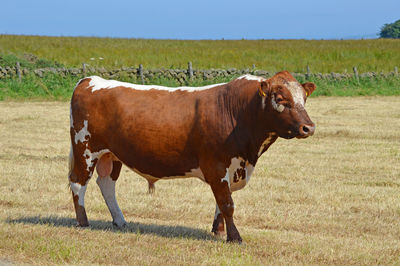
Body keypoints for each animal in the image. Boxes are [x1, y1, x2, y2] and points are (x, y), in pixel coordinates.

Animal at [68, 71, 316, 243]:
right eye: (280, 99)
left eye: (304, 99)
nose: (309, 127)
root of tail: (90, 80)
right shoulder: (216, 166)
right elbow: (227, 203)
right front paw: (234, 237)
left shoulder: (231, 168)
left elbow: (221, 202)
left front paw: (218, 231)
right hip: (85, 148)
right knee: (78, 183)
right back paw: (83, 222)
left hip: (112, 155)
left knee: (106, 183)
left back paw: (120, 221)